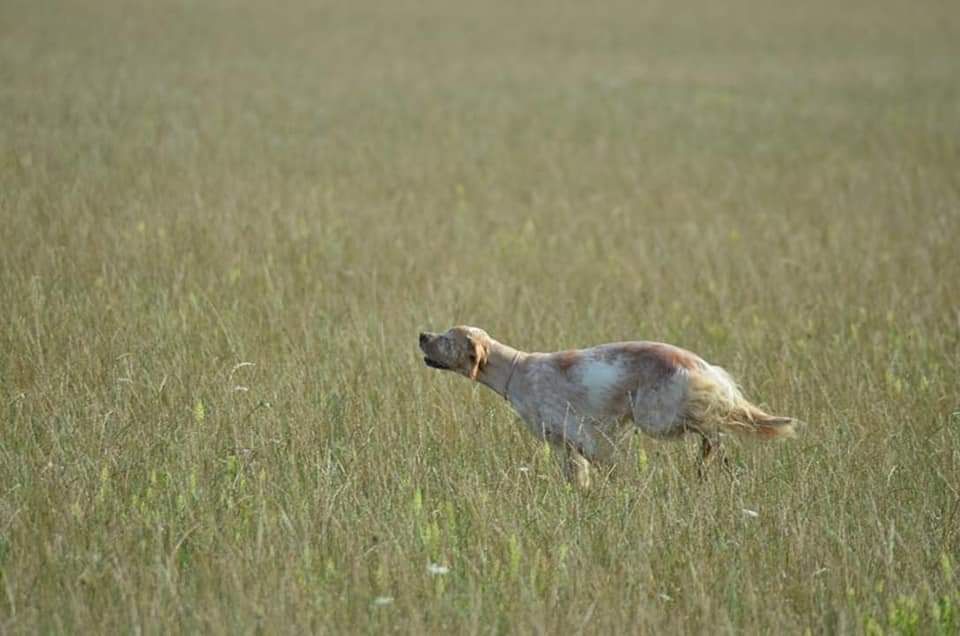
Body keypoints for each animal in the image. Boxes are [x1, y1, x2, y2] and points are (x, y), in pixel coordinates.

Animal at [416, 326, 800, 490]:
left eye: (447, 338)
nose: (422, 334)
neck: (516, 370)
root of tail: (702, 365)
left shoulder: (586, 436)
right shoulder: (566, 445)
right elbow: (577, 474)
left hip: (656, 415)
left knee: (715, 427)